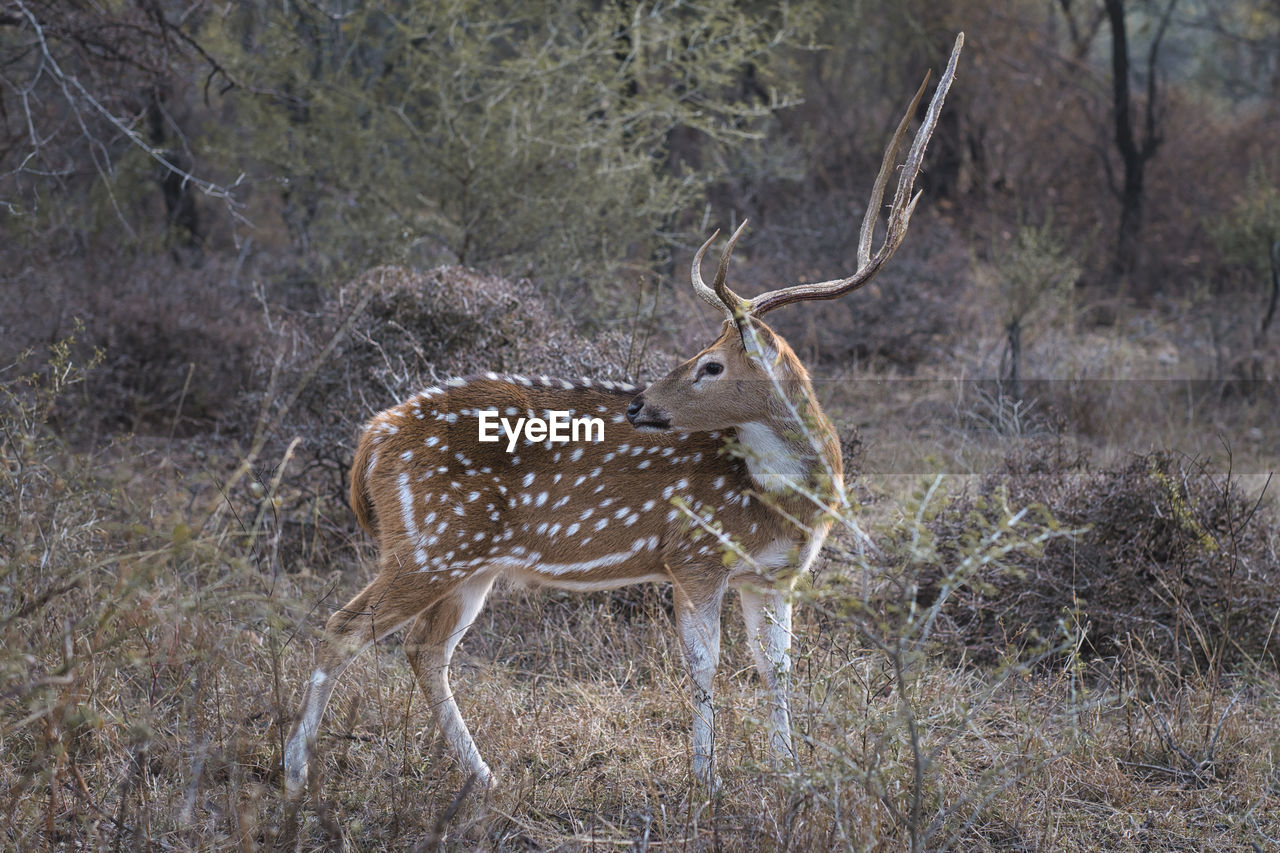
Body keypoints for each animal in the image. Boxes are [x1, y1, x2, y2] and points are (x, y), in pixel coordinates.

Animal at [282, 31, 962, 788]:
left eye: (711, 364)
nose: (639, 402)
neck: (785, 501)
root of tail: (371, 440)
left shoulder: (775, 575)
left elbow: (777, 669)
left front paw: (791, 774)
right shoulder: (694, 555)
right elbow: (705, 665)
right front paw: (707, 779)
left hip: (469, 564)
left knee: (425, 649)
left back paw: (482, 775)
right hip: (431, 545)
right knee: (342, 628)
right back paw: (296, 772)